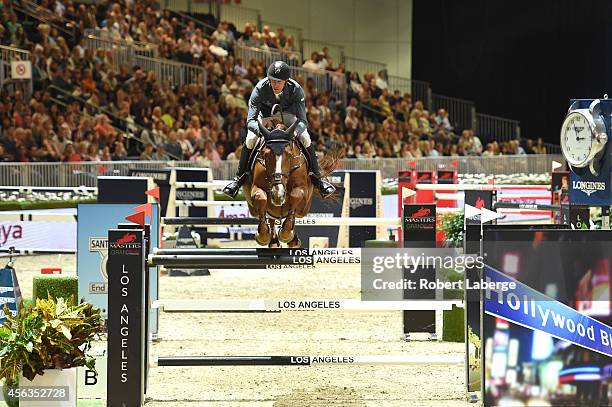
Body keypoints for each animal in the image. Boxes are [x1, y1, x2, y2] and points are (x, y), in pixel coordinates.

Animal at [243, 116, 340, 247]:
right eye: (266, 155)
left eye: (289, 155)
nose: (278, 195)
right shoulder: (257, 190)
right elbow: (261, 198)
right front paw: (263, 236)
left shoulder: (301, 191)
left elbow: (295, 196)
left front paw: (286, 234)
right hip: (255, 209)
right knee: (270, 217)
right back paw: (273, 241)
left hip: (304, 210)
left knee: (293, 214)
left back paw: (292, 240)